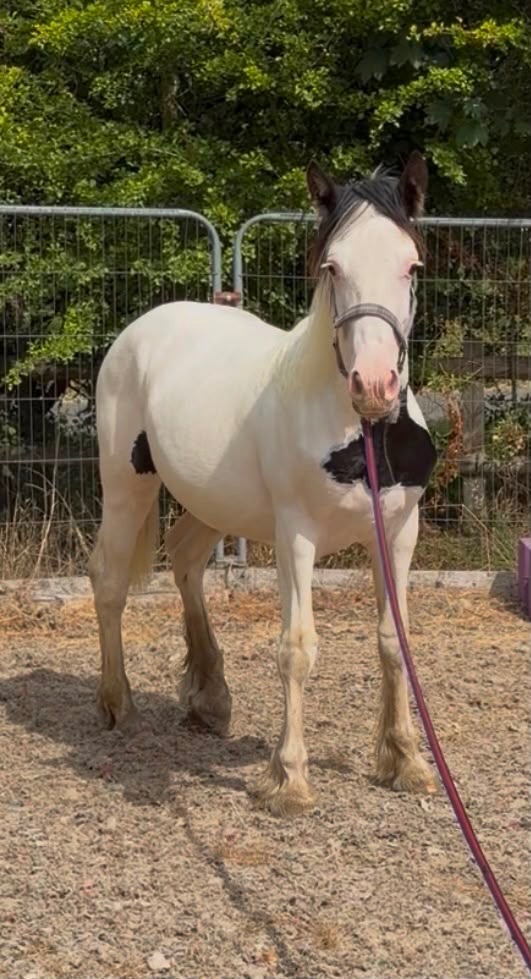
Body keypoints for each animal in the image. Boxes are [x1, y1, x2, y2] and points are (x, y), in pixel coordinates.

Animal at [89, 151, 438, 816]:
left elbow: (393, 641)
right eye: (332, 266)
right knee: (110, 580)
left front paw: (405, 760)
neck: (358, 433)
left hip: (212, 501)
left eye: (411, 265)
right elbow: (297, 648)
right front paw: (290, 779)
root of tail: (146, 327)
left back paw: (209, 698)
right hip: (125, 487)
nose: (374, 385)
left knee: (186, 558)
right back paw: (118, 703)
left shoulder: (400, 531)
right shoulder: (295, 536)